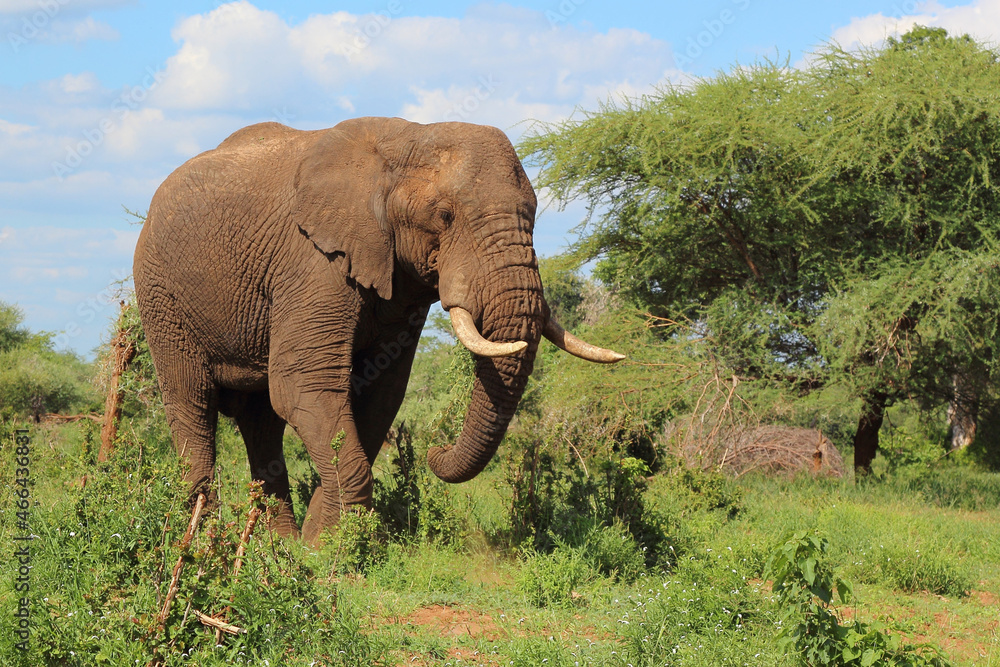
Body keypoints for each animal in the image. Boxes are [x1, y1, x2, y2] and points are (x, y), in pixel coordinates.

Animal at [133, 117, 623, 543]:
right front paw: (335, 549)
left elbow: (379, 394)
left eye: (535, 216)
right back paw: (201, 539)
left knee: (261, 421)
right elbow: (305, 386)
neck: (407, 141)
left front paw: (318, 543)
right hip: (160, 293)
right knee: (192, 401)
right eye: (444, 216)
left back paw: (274, 545)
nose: (436, 452)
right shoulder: (312, 261)